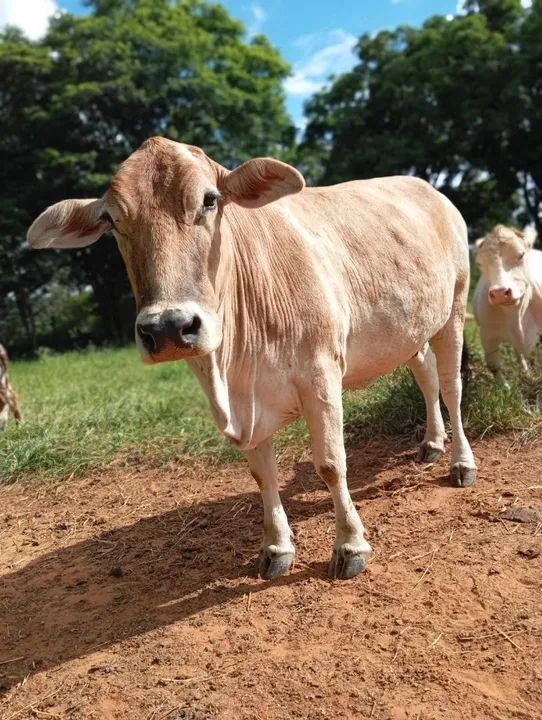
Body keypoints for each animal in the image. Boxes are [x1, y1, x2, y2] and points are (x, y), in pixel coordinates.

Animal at [27, 137, 477, 580]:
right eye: (111, 219)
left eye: (209, 200)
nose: (169, 328)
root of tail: (429, 190)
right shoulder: (245, 404)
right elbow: (263, 474)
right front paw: (276, 547)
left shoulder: (321, 374)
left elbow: (331, 464)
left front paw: (350, 545)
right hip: (412, 328)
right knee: (426, 375)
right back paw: (432, 443)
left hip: (454, 306)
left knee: (451, 386)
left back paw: (461, 463)